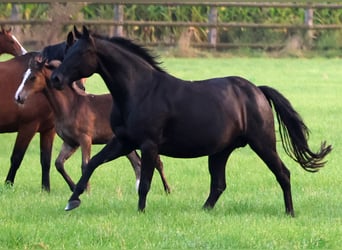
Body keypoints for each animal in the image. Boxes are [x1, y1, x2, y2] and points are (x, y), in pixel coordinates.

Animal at [14, 56, 170, 192]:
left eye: (33, 77)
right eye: (23, 76)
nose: (18, 97)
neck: (71, 106)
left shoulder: (85, 139)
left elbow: (85, 165)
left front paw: (86, 190)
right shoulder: (70, 143)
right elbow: (59, 164)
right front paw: (74, 187)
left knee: (157, 163)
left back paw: (167, 189)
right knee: (137, 163)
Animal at [50, 26, 332, 216]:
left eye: (82, 52)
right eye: (67, 51)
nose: (55, 79)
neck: (139, 90)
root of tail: (257, 90)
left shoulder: (148, 144)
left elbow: (146, 182)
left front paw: (140, 212)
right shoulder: (123, 141)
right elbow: (92, 164)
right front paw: (72, 201)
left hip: (262, 143)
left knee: (283, 173)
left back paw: (290, 212)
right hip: (220, 151)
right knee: (219, 184)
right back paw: (203, 211)